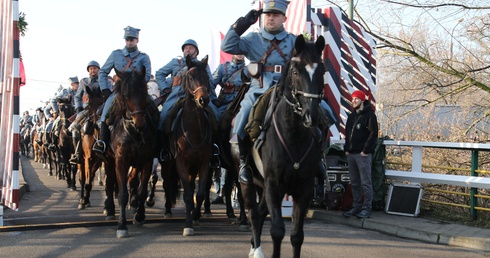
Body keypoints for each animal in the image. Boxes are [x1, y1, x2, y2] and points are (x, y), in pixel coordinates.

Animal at [103, 67, 157, 239]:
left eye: (144, 92)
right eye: (126, 95)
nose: (140, 123)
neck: (134, 132)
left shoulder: (147, 160)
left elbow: (142, 191)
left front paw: (139, 216)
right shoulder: (121, 161)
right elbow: (122, 194)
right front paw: (122, 226)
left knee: (133, 180)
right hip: (108, 160)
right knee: (109, 182)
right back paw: (109, 209)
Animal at [162, 54, 213, 236]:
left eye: (207, 77)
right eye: (190, 77)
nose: (203, 99)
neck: (194, 131)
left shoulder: (204, 163)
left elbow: (200, 193)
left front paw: (196, 216)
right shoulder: (181, 163)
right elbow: (187, 195)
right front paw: (188, 224)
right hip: (167, 164)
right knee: (167, 184)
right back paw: (167, 210)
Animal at [242, 34, 326, 258]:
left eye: (322, 71)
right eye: (296, 72)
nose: (311, 116)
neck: (293, 135)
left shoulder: (303, 189)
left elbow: (297, 235)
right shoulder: (274, 185)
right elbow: (277, 230)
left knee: (260, 212)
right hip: (250, 181)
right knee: (254, 213)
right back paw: (256, 249)